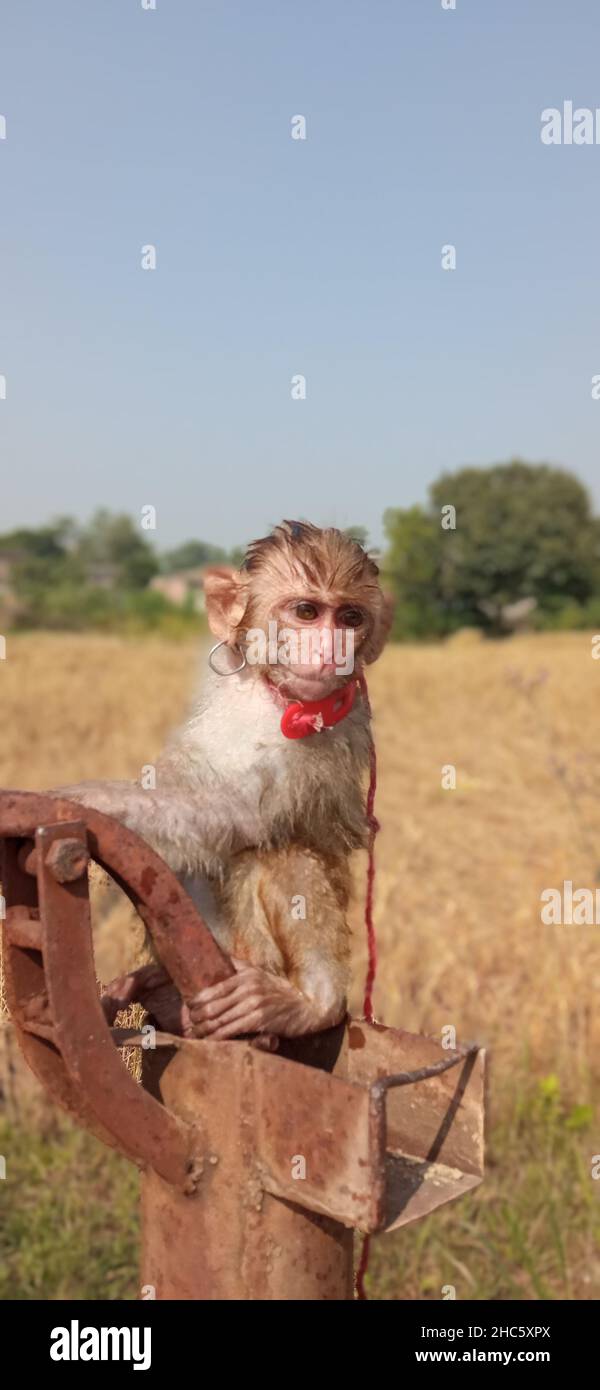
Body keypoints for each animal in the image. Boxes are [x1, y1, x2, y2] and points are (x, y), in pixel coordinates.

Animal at [51, 521, 392, 1040]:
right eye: (307, 612)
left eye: (349, 617)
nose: (332, 650)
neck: (272, 696)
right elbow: (189, 772)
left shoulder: (325, 733)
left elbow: (236, 816)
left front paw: (86, 801)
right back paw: (166, 998)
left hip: (250, 960)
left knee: (278, 851)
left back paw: (313, 1002)